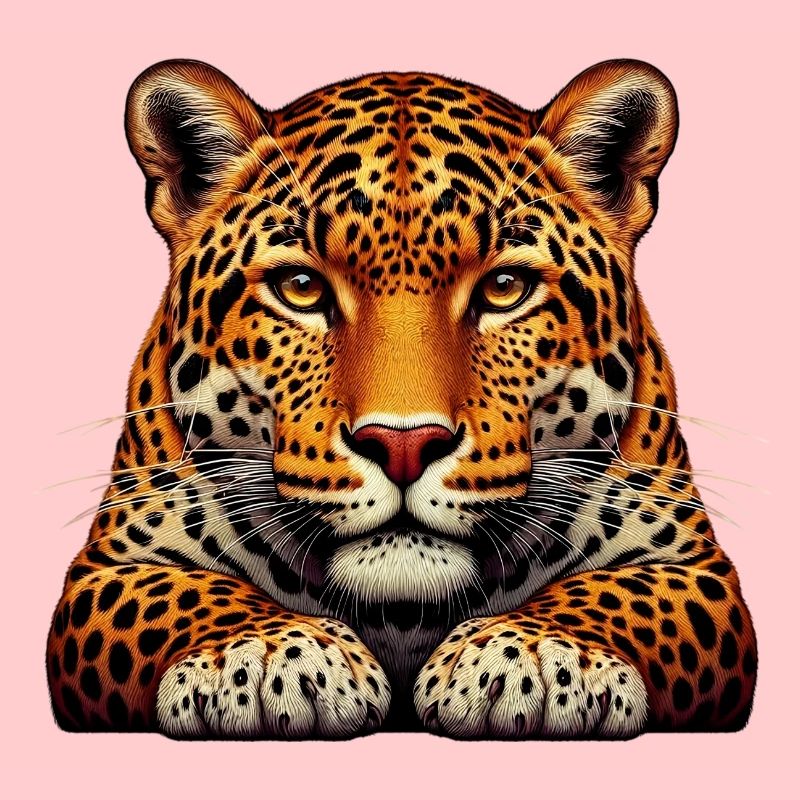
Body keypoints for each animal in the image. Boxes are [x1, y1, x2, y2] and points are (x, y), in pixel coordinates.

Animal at [46, 58, 757, 738]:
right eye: (301, 287)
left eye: (505, 287)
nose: (404, 445)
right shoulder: (110, 566)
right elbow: (184, 593)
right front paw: (265, 655)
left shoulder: (693, 565)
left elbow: (619, 593)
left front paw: (536, 655)